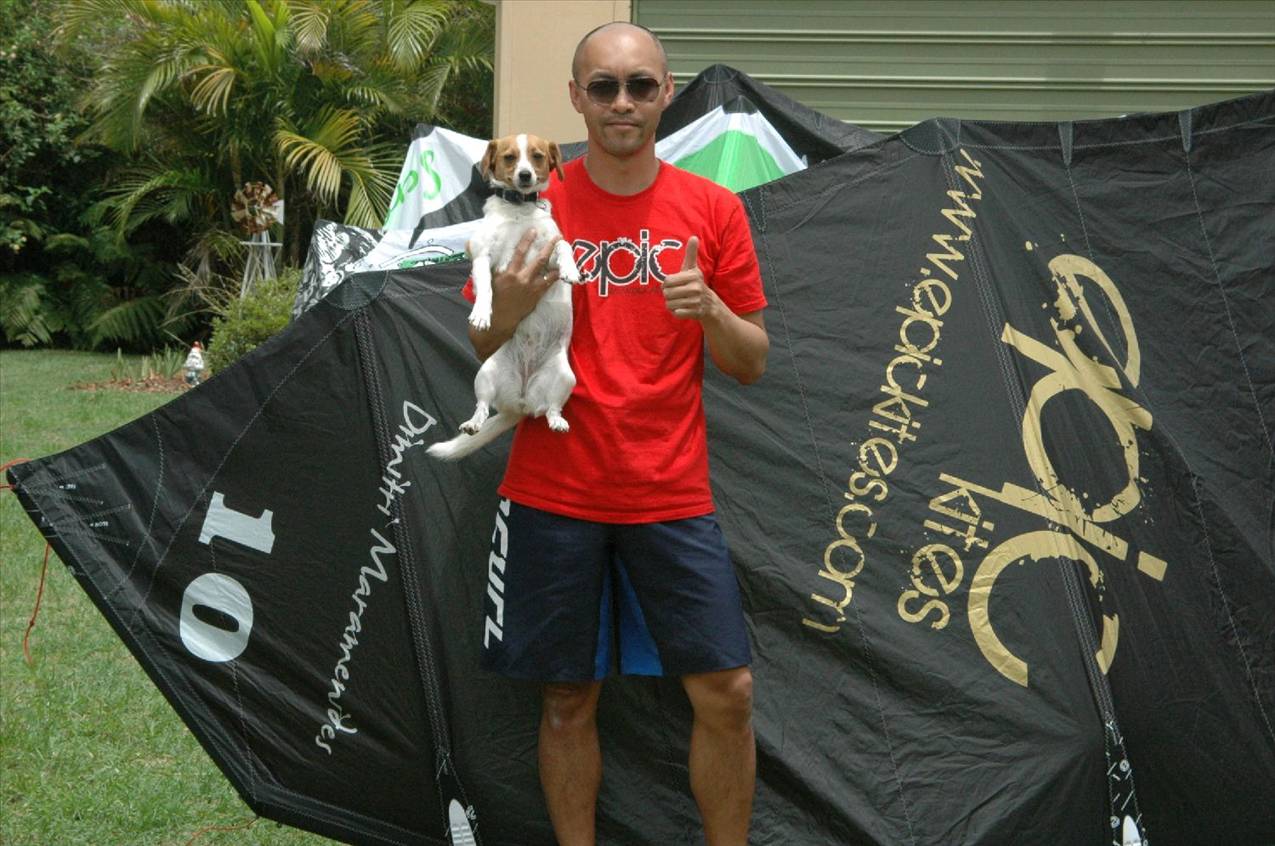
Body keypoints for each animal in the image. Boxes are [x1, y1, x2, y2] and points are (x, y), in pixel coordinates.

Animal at [427, 133, 584, 461]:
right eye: (509, 157)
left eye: (537, 156)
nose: (525, 176)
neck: (518, 212)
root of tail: (520, 404)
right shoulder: (483, 257)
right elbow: (486, 287)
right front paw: (482, 313)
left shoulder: (549, 249)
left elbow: (564, 247)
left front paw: (570, 270)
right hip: (485, 374)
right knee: (483, 405)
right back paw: (474, 423)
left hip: (565, 377)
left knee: (551, 408)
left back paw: (557, 420)